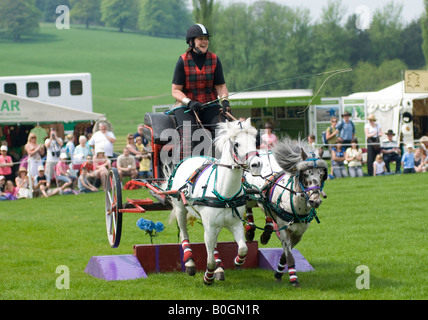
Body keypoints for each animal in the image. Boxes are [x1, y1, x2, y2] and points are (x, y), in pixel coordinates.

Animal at [166, 119, 260, 284]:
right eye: (236, 144)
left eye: (255, 141)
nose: (256, 164)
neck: (225, 195)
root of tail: (189, 158)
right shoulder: (209, 226)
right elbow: (209, 260)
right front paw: (208, 276)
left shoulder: (235, 224)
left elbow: (243, 248)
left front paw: (237, 261)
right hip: (180, 208)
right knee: (184, 234)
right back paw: (190, 262)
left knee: (214, 245)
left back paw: (220, 267)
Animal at [244, 138, 328, 288]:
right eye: (306, 174)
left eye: (322, 175)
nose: (315, 201)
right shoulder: (285, 230)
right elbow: (290, 256)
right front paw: (294, 280)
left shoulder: (299, 233)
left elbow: (284, 255)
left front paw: (278, 274)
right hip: (249, 196)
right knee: (247, 208)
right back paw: (249, 230)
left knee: (267, 212)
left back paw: (266, 233)